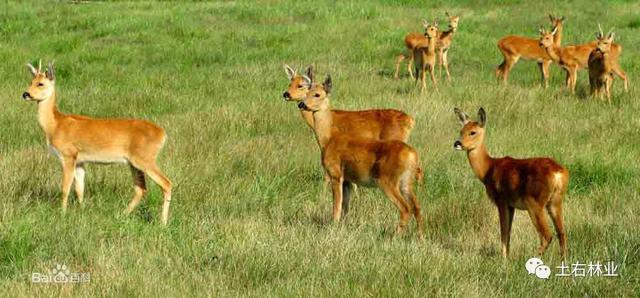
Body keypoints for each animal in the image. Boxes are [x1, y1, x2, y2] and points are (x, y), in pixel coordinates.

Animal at [22, 61, 174, 224]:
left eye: (40, 83)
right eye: (30, 81)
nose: (26, 94)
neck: (55, 125)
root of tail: (162, 134)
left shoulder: (68, 155)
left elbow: (65, 188)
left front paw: (62, 214)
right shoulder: (80, 161)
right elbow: (80, 189)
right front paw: (82, 212)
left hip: (145, 158)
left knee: (166, 183)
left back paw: (163, 222)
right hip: (134, 162)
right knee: (141, 189)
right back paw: (121, 215)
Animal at [298, 75, 424, 235]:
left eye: (317, 94)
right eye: (306, 92)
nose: (301, 104)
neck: (328, 139)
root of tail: (413, 155)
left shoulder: (335, 173)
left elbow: (336, 206)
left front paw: (333, 226)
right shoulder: (347, 180)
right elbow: (345, 207)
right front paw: (343, 226)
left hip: (388, 180)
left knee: (405, 209)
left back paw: (394, 236)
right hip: (406, 182)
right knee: (417, 207)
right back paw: (419, 236)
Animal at [452, 107, 568, 258]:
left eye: (473, 132)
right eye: (461, 130)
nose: (457, 143)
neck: (488, 169)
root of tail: (558, 173)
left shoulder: (501, 200)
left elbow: (504, 232)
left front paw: (503, 258)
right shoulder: (511, 205)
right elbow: (508, 232)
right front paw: (507, 256)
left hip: (535, 202)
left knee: (547, 235)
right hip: (555, 202)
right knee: (561, 232)